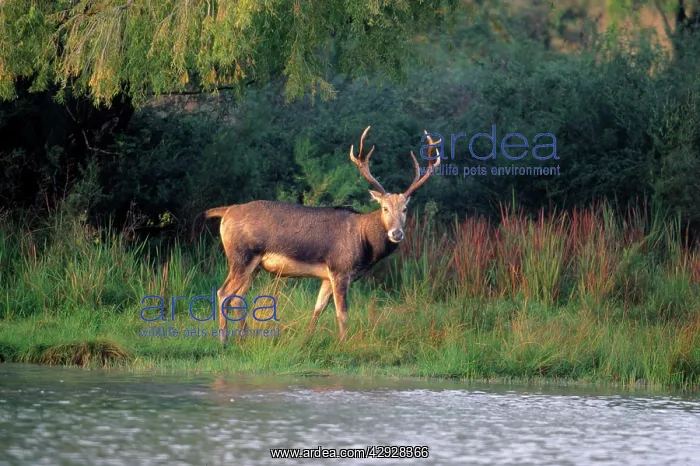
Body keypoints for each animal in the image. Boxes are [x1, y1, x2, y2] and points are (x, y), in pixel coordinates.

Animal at [192, 127, 441, 344]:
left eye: (405, 209)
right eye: (384, 208)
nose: (396, 233)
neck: (364, 242)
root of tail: (226, 212)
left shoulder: (326, 276)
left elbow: (318, 307)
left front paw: (307, 338)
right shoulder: (340, 269)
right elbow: (342, 313)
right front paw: (343, 344)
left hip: (254, 266)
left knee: (238, 298)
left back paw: (243, 338)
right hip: (241, 256)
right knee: (224, 293)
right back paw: (224, 340)